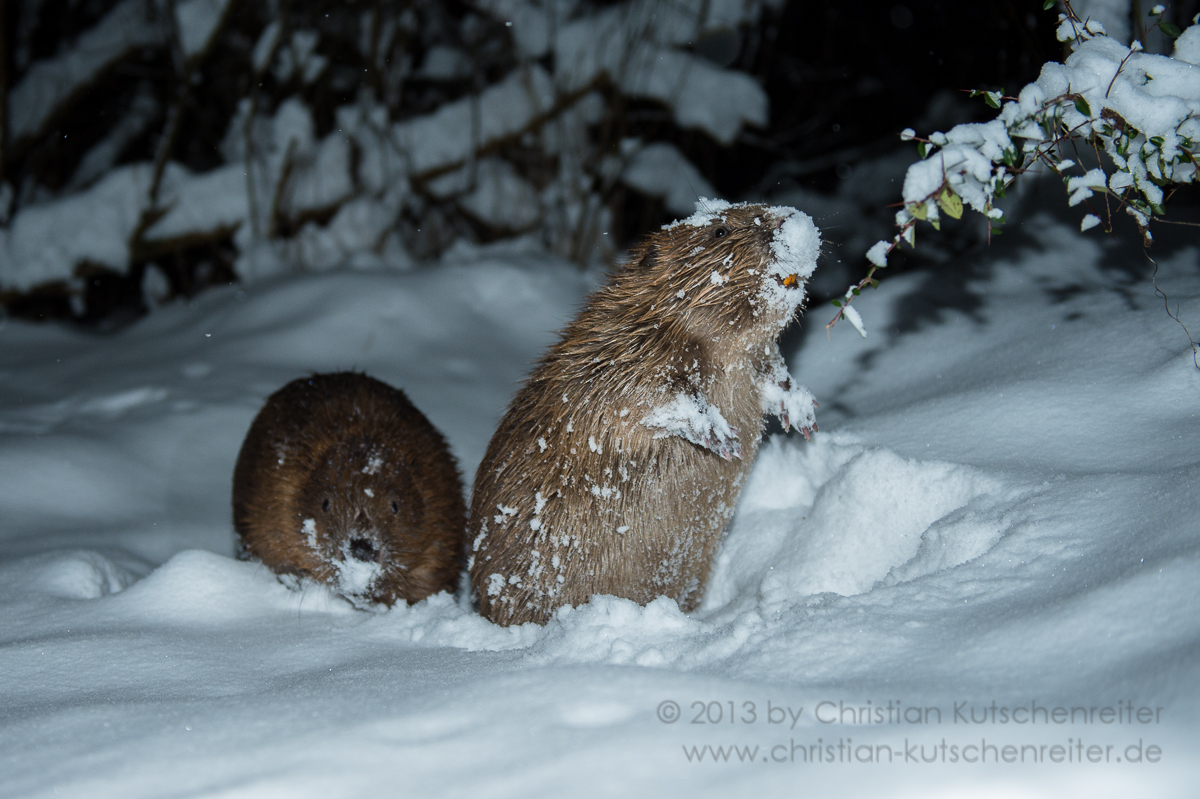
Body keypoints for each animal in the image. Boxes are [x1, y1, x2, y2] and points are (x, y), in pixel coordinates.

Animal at [463, 197, 820, 623]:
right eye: (720, 231)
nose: (795, 223)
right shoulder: (613, 351)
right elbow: (637, 394)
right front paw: (719, 435)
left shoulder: (753, 357)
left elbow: (772, 372)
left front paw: (802, 414)